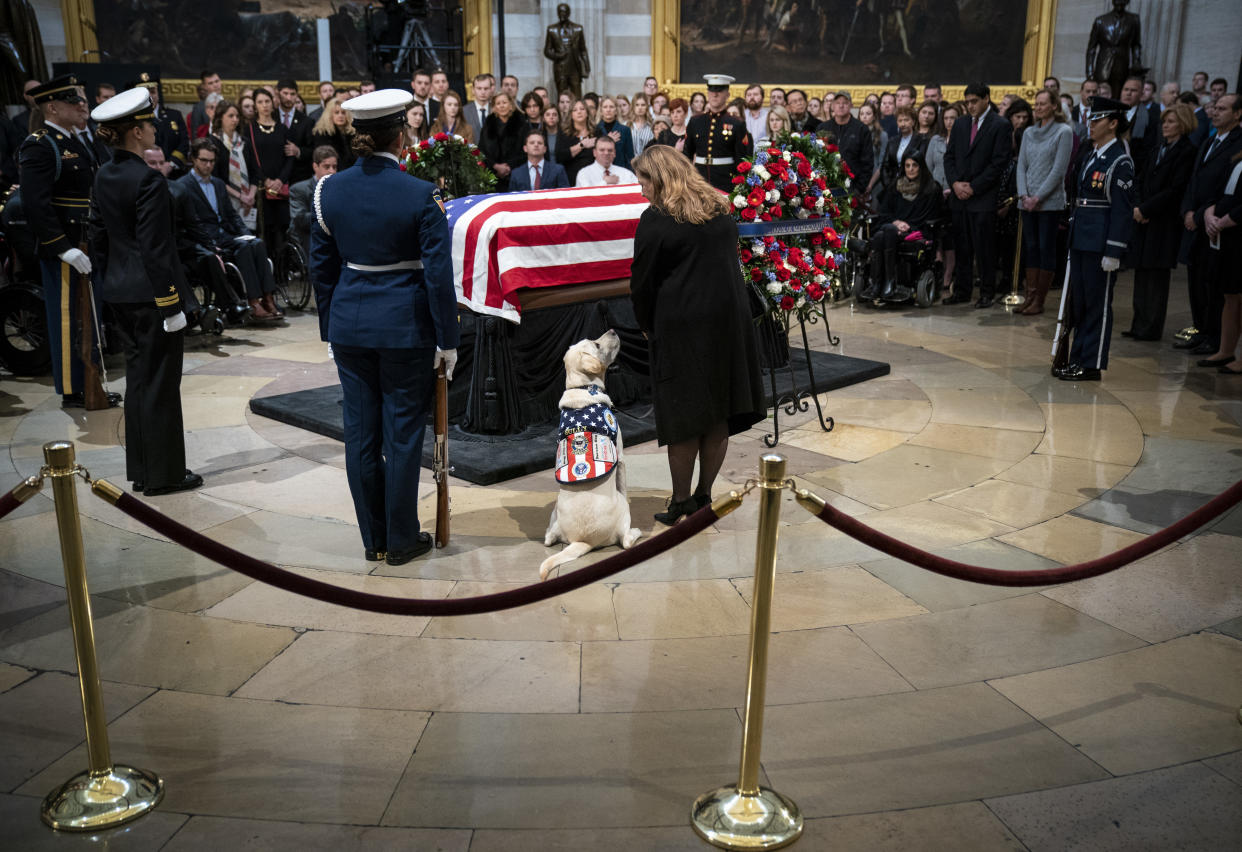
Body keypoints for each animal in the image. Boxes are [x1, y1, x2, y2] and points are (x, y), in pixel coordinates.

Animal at [541, 327, 645, 581]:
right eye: (596, 345)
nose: (614, 329)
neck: (582, 387)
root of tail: (583, 540)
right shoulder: (621, 456)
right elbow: (623, 483)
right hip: (623, 513)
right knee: (626, 541)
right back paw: (636, 532)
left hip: (554, 513)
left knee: (548, 539)